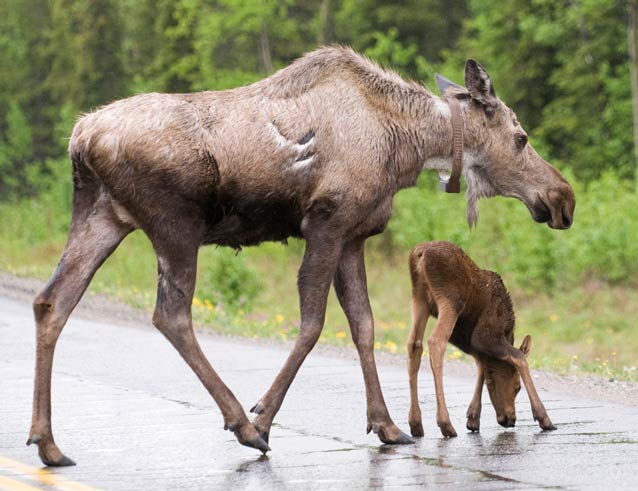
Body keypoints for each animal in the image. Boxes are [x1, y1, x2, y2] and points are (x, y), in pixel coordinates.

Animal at [410, 242, 556, 438]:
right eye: (517, 387)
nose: (510, 419)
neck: (506, 329)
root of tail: (420, 254)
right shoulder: (484, 335)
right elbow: (518, 357)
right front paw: (544, 418)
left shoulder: (466, 338)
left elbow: (481, 364)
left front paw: (473, 417)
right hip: (450, 300)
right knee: (435, 342)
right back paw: (445, 423)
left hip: (419, 299)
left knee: (413, 345)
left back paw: (415, 423)